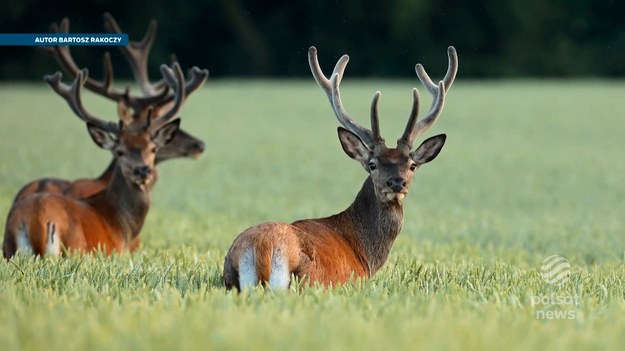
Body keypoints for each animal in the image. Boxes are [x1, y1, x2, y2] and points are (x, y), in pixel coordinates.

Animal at [224, 45, 458, 290]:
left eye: (412, 165)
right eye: (372, 164)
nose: (396, 183)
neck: (365, 253)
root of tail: (261, 249)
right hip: (308, 277)